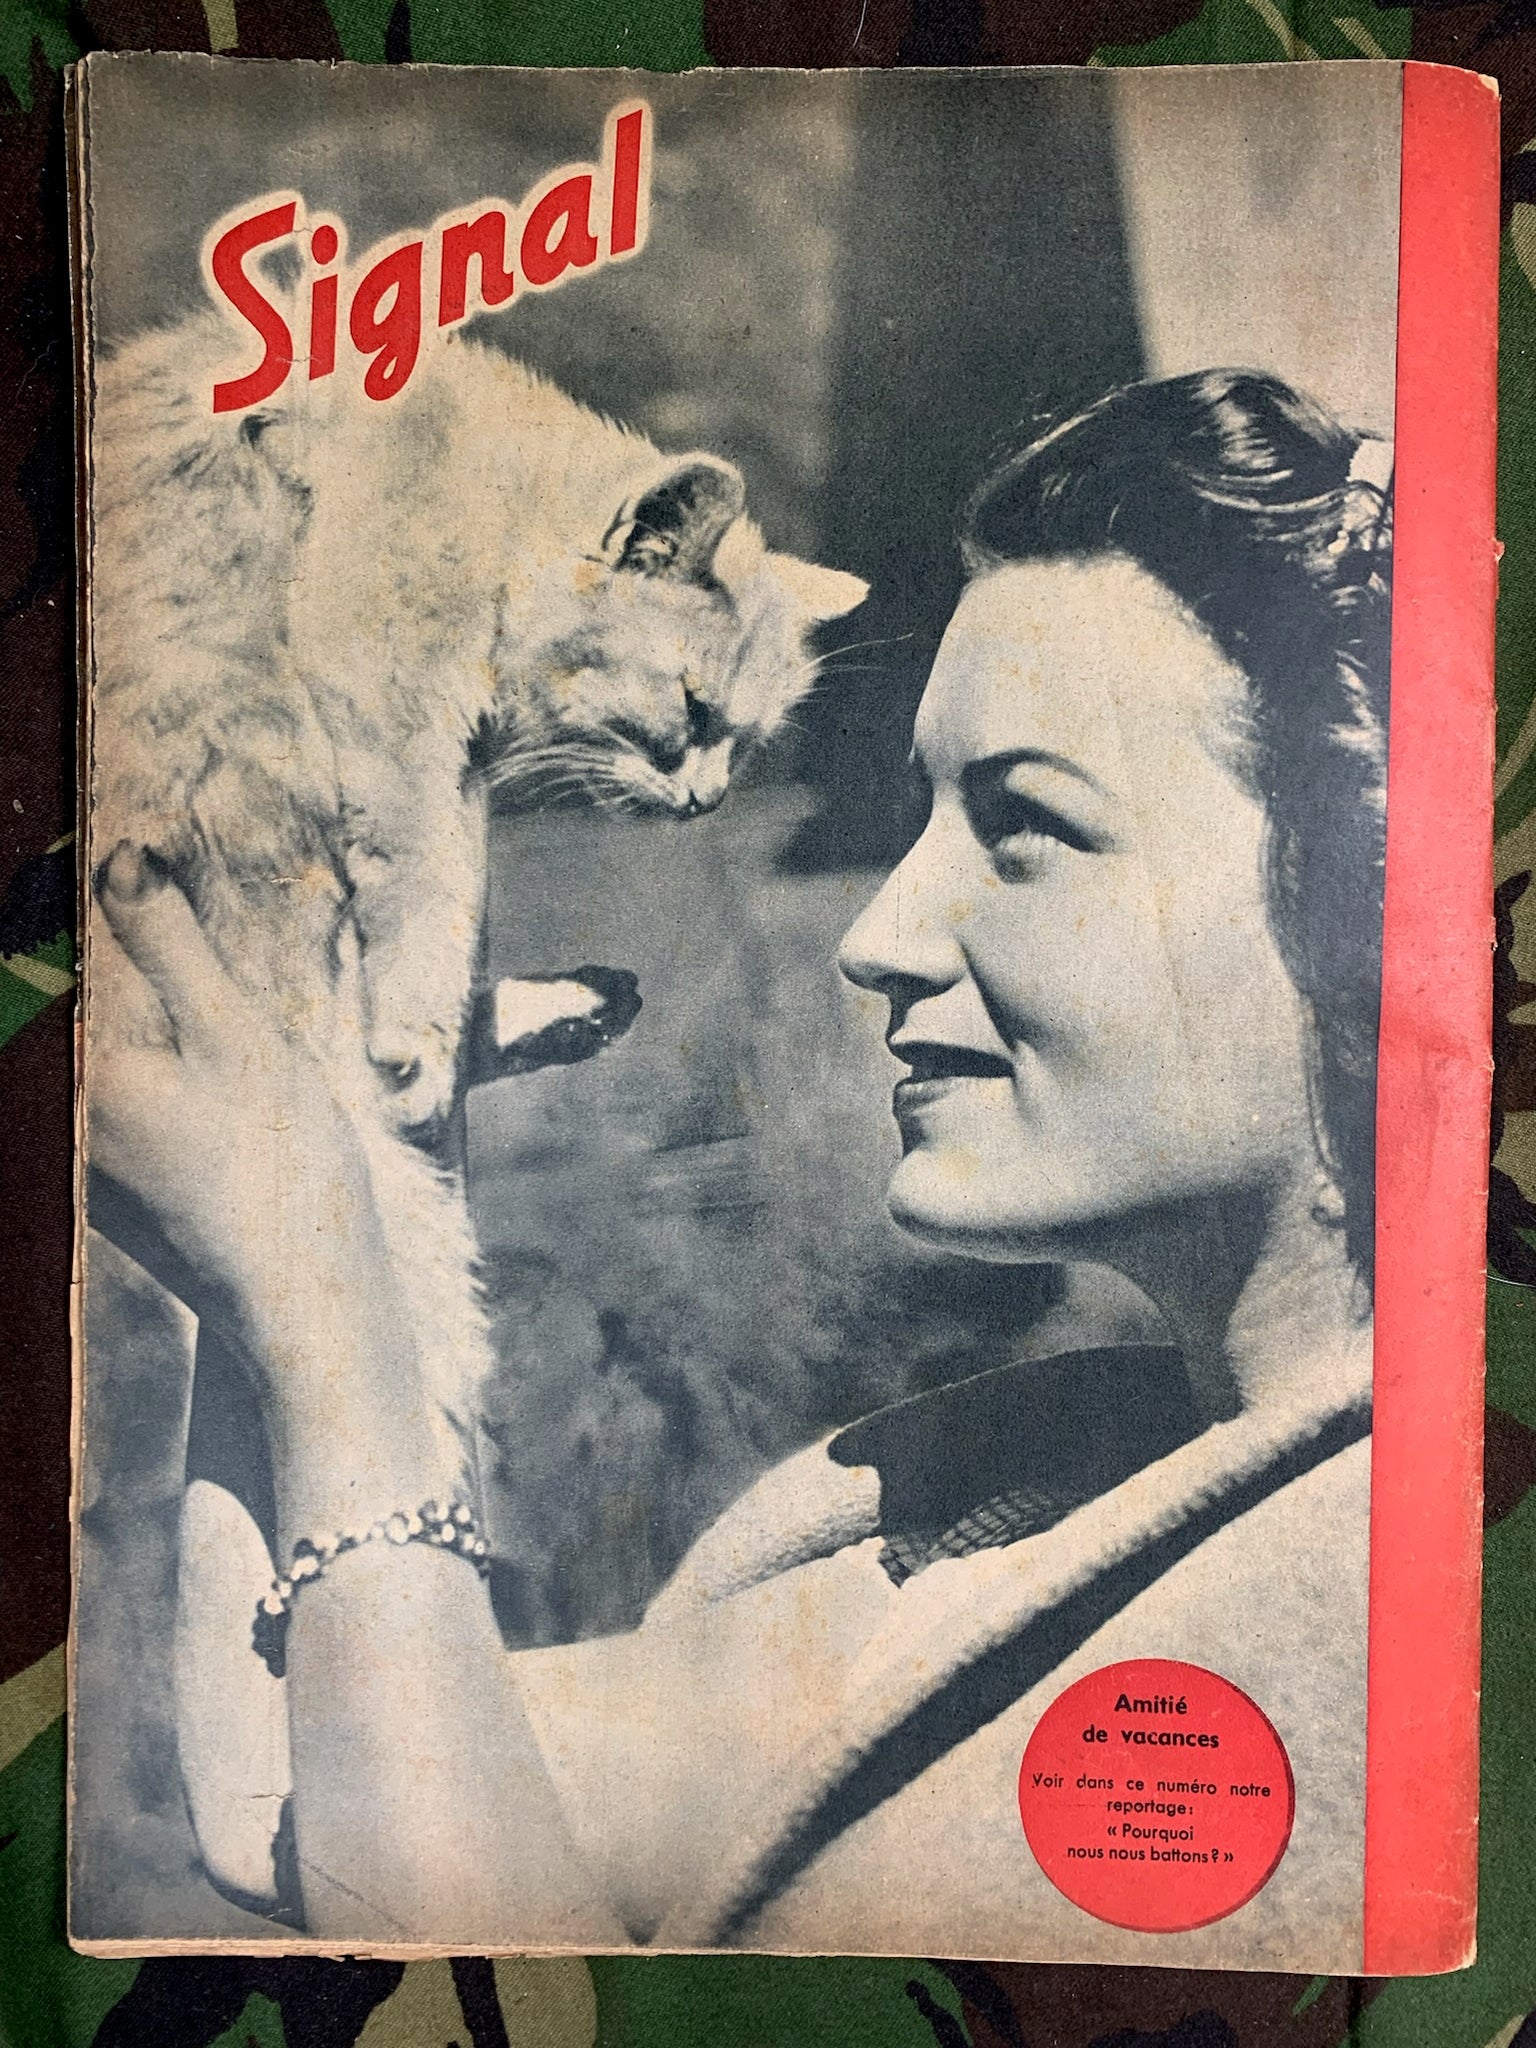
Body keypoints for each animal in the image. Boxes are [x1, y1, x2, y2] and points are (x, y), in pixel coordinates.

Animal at [85, 310, 867, 1463]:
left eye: (749, 742)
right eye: (692, 708)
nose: (709, 801)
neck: (489, 497)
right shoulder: (386, 713)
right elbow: (425, 892)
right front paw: (419, 1021)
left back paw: (567, 1009)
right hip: (253, 757)